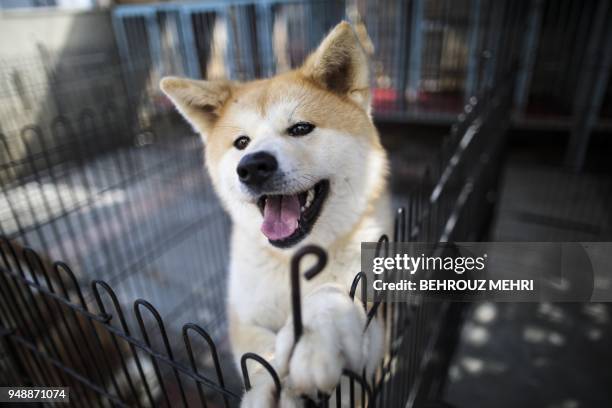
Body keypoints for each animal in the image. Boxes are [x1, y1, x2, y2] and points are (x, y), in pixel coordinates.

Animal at [161, 21, 392, 404]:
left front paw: (314, 331)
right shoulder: (244, 318)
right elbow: (259, 359)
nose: (253, 166)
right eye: (241, 143)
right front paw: (270, 390)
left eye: (300, 128)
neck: (292, 262)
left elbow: (333, 295)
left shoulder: (377, 324)